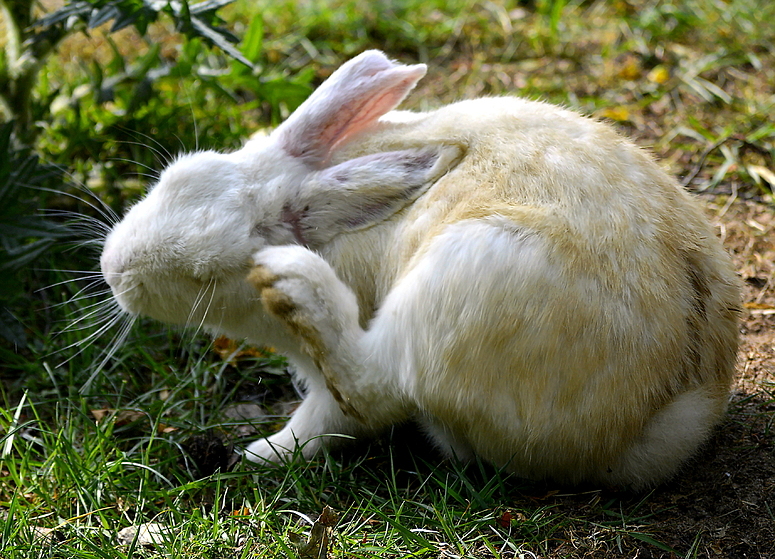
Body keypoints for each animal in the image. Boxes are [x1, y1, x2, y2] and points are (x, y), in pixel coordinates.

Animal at [101, 52, 740, 490]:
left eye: (207, 276)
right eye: (177, 175)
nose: (113, 270)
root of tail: (664, 411)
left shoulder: (326, 386)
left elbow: (327, 419)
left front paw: (258, 453)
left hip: (461, 280)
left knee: (373, 383)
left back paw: (296, 284)